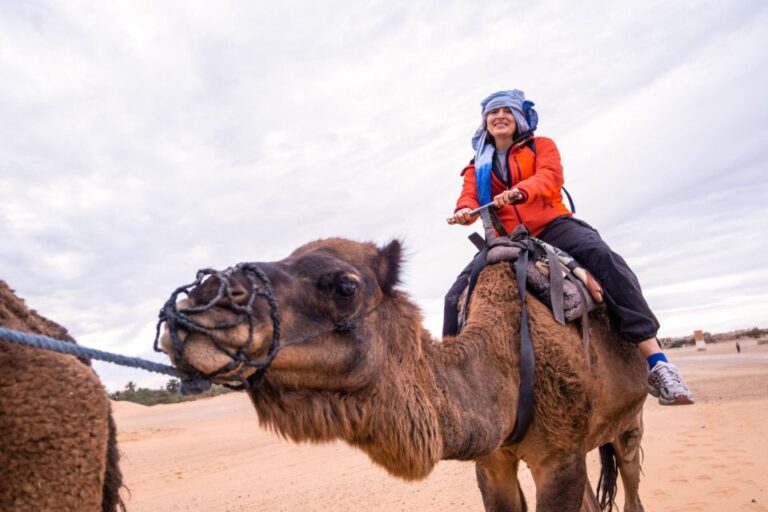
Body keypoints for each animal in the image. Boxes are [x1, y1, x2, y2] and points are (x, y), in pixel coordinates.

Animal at [160, 240, 648, 512]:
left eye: (344, 286)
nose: (200, 301)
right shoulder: (492, 462)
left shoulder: (559, 457)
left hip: (628, 424)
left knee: (631, 489)